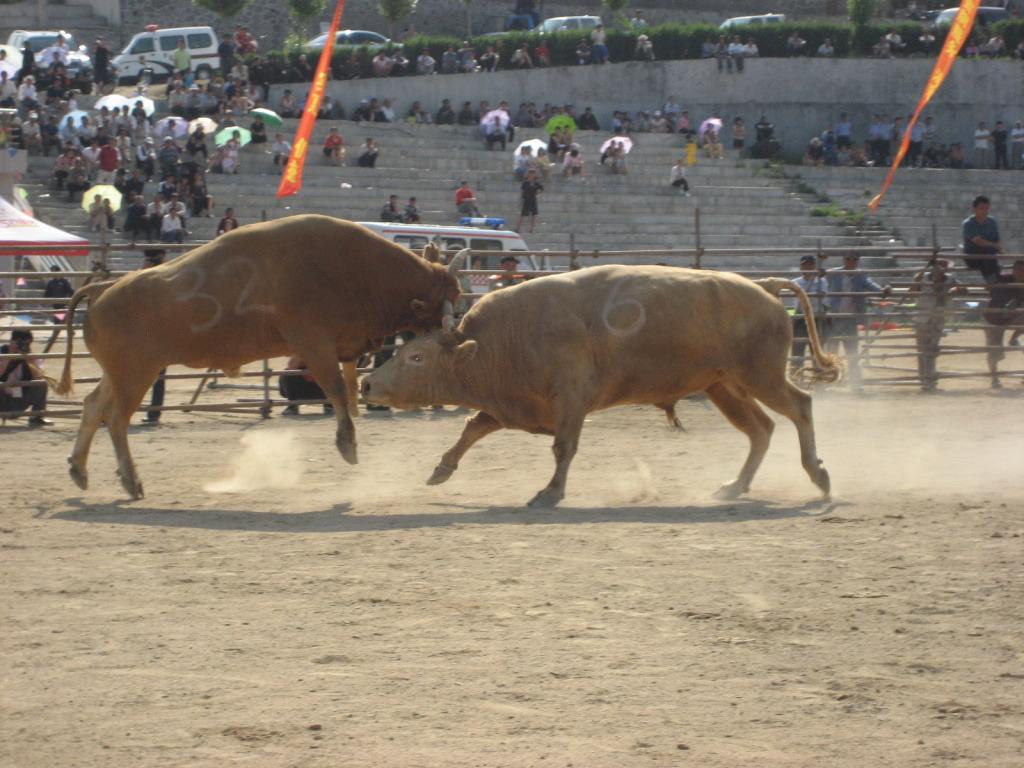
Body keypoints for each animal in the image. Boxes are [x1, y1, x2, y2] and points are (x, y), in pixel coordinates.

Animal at [58, 215, 466, 499]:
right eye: (444, 302)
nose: (457, 332)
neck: (354, 265)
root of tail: (103, 288)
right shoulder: (313, 342)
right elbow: (334, 387)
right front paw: (347, 445)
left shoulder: (342, 345)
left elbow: (347, 385)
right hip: (135, 375)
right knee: (116, 418)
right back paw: (131, 480)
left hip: (121, 374)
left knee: (94, 406)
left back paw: (79, 470)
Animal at [364, 264, 843, 512]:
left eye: (416, 357)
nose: (367, 382)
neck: (500, 341)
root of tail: (764, 286)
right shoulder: (514, 404)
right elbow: (472, 428)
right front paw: (441, 470)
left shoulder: (570, 398)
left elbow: (563, 447)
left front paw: (550, 493)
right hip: (723, 384)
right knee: (761, 429)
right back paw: (735, 486)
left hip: (760, 375)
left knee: (800, 406)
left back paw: (818, 474)